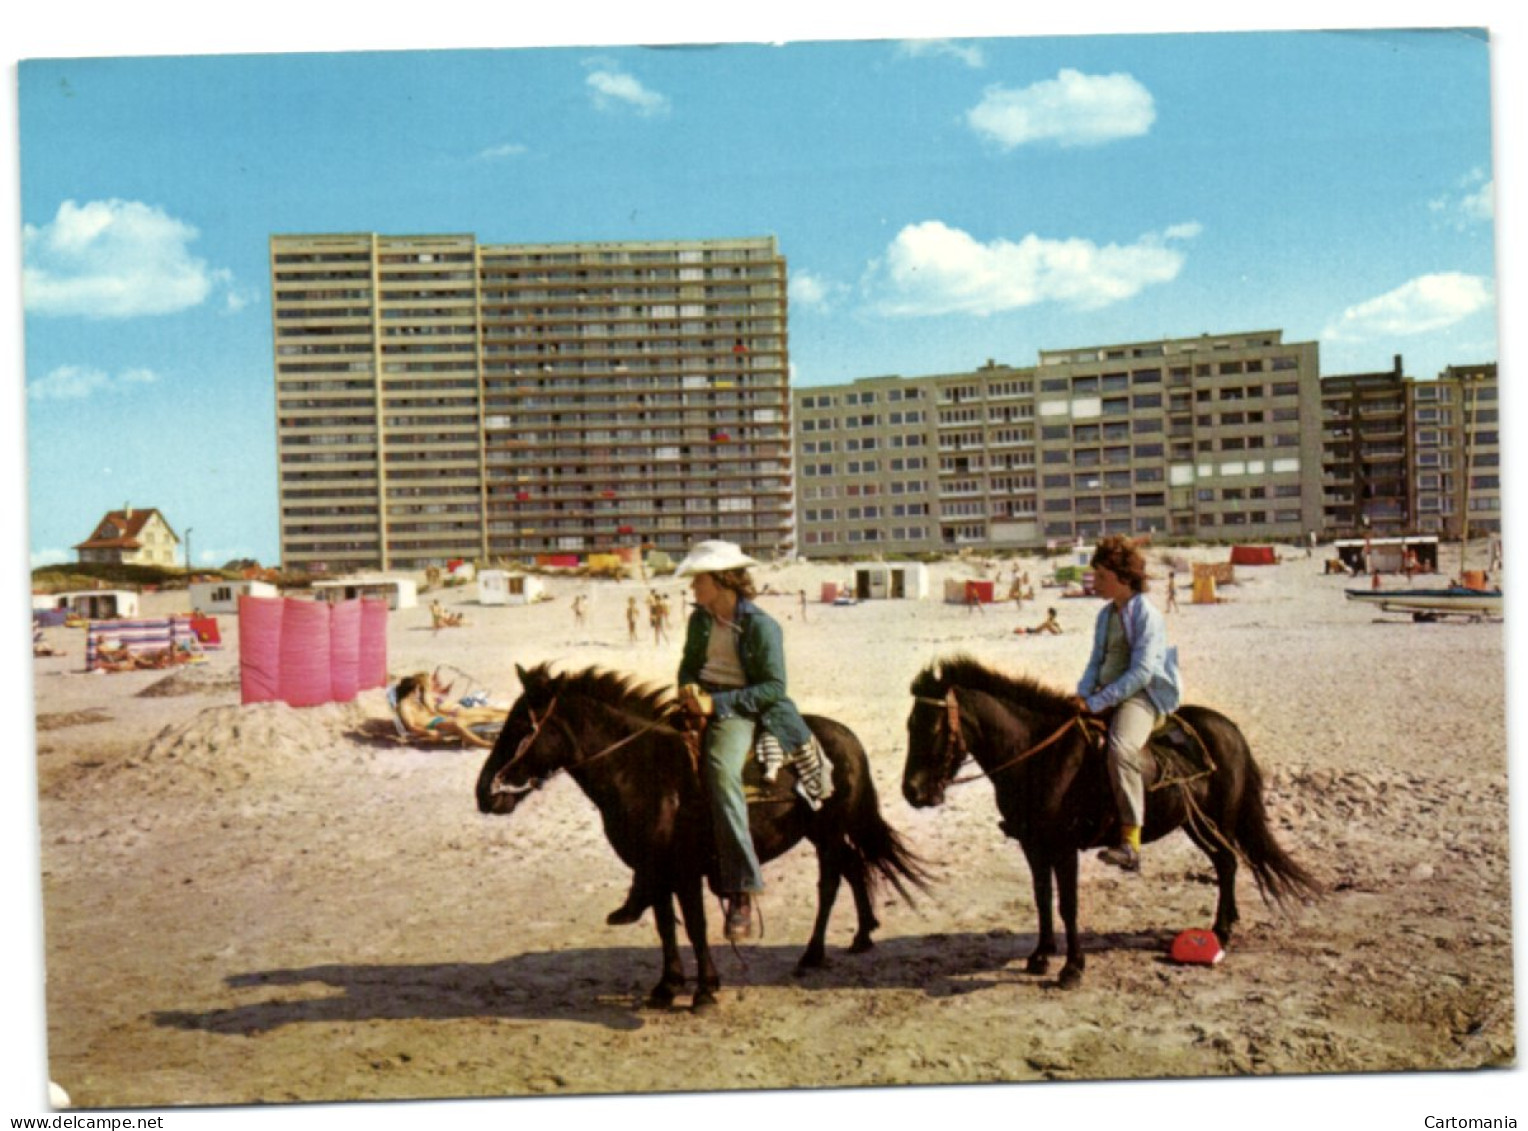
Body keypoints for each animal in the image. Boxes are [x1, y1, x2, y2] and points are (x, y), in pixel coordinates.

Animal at [476, 657, 929, 1008]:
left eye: (520, 727)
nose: (485, 792)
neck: (644, 772)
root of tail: (848, 738)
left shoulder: (684, 871)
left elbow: (694, 925)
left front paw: (705, 990)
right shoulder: (655, 872)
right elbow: (665, 926)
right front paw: (667, 986)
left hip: (829, 832)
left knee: (832, 881)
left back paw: (814, 953)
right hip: (823, 835)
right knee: (854, 867)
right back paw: (863, 934)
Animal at [898, 654, 1320, 990]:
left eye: (934, 727)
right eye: (909, 726)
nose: (912, 792)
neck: (1040, 756)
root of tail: (1229, 729)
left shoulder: (1063, 848)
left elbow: (1067, 905)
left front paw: (1072, 968)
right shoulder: (1034, 846)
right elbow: (1042, 899)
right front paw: (1041, 956)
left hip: (1216, 822)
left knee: (1229, 863)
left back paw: (1223, 930)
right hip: (1195, 824)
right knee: (1224, 863)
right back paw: (1222, 927)